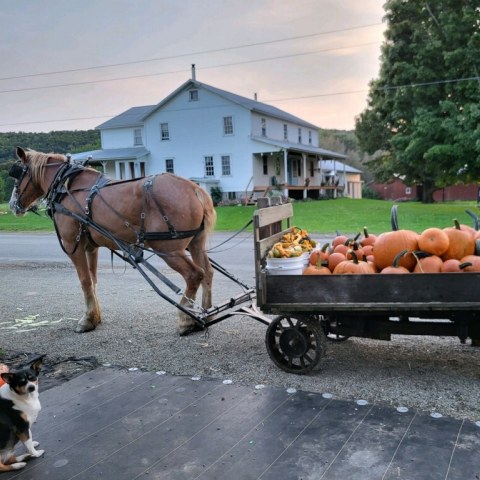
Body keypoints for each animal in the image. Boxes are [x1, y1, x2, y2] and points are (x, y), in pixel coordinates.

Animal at [8, 148, 216, 336]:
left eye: (17, 175)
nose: (11, 205)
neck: (65, 186)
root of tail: (195, 189)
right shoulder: (90, 247)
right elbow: (93, 280)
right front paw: (94, 317)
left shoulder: (73, 245)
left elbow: (84, 281)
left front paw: (86, 320)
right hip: (196, 244)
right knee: (207, 273)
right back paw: (207, 314)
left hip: (168, 249)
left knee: (194, 275)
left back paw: (186, 319)